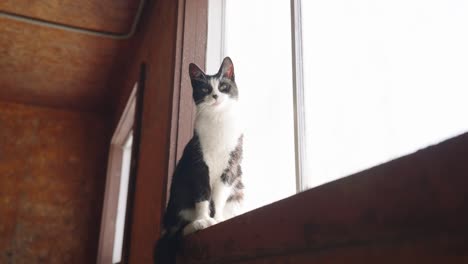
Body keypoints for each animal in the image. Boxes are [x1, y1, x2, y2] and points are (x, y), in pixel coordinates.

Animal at [154, 56, 245, 262]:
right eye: (205, 89)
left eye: (223, 86)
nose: (215, 96)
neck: (218, 122)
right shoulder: (198, 162)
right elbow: (203, 194)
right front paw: (204, 219)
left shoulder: (231, 164)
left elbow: (218, 197)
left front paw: (217, 219)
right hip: (179, 195)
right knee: (177, 231)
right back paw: (196, 224)